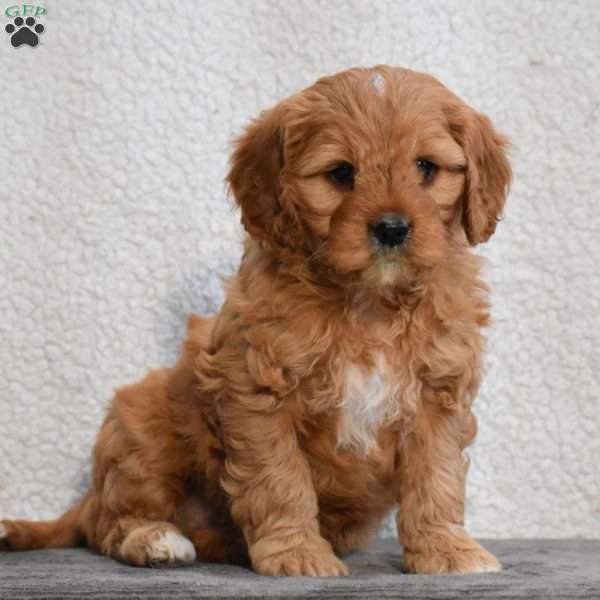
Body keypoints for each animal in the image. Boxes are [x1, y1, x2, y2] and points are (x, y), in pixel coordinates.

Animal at [1, 67, 510, 576]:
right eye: (340, 173)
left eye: (426, 167)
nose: (391, 227)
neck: (369, 304)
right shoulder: (258, 391)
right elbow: (280, 478)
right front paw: (296, 552)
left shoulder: (437, 395)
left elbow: (436, 479)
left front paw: (447, 549)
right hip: (143, 427)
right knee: (109, 521)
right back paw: (155, 539)